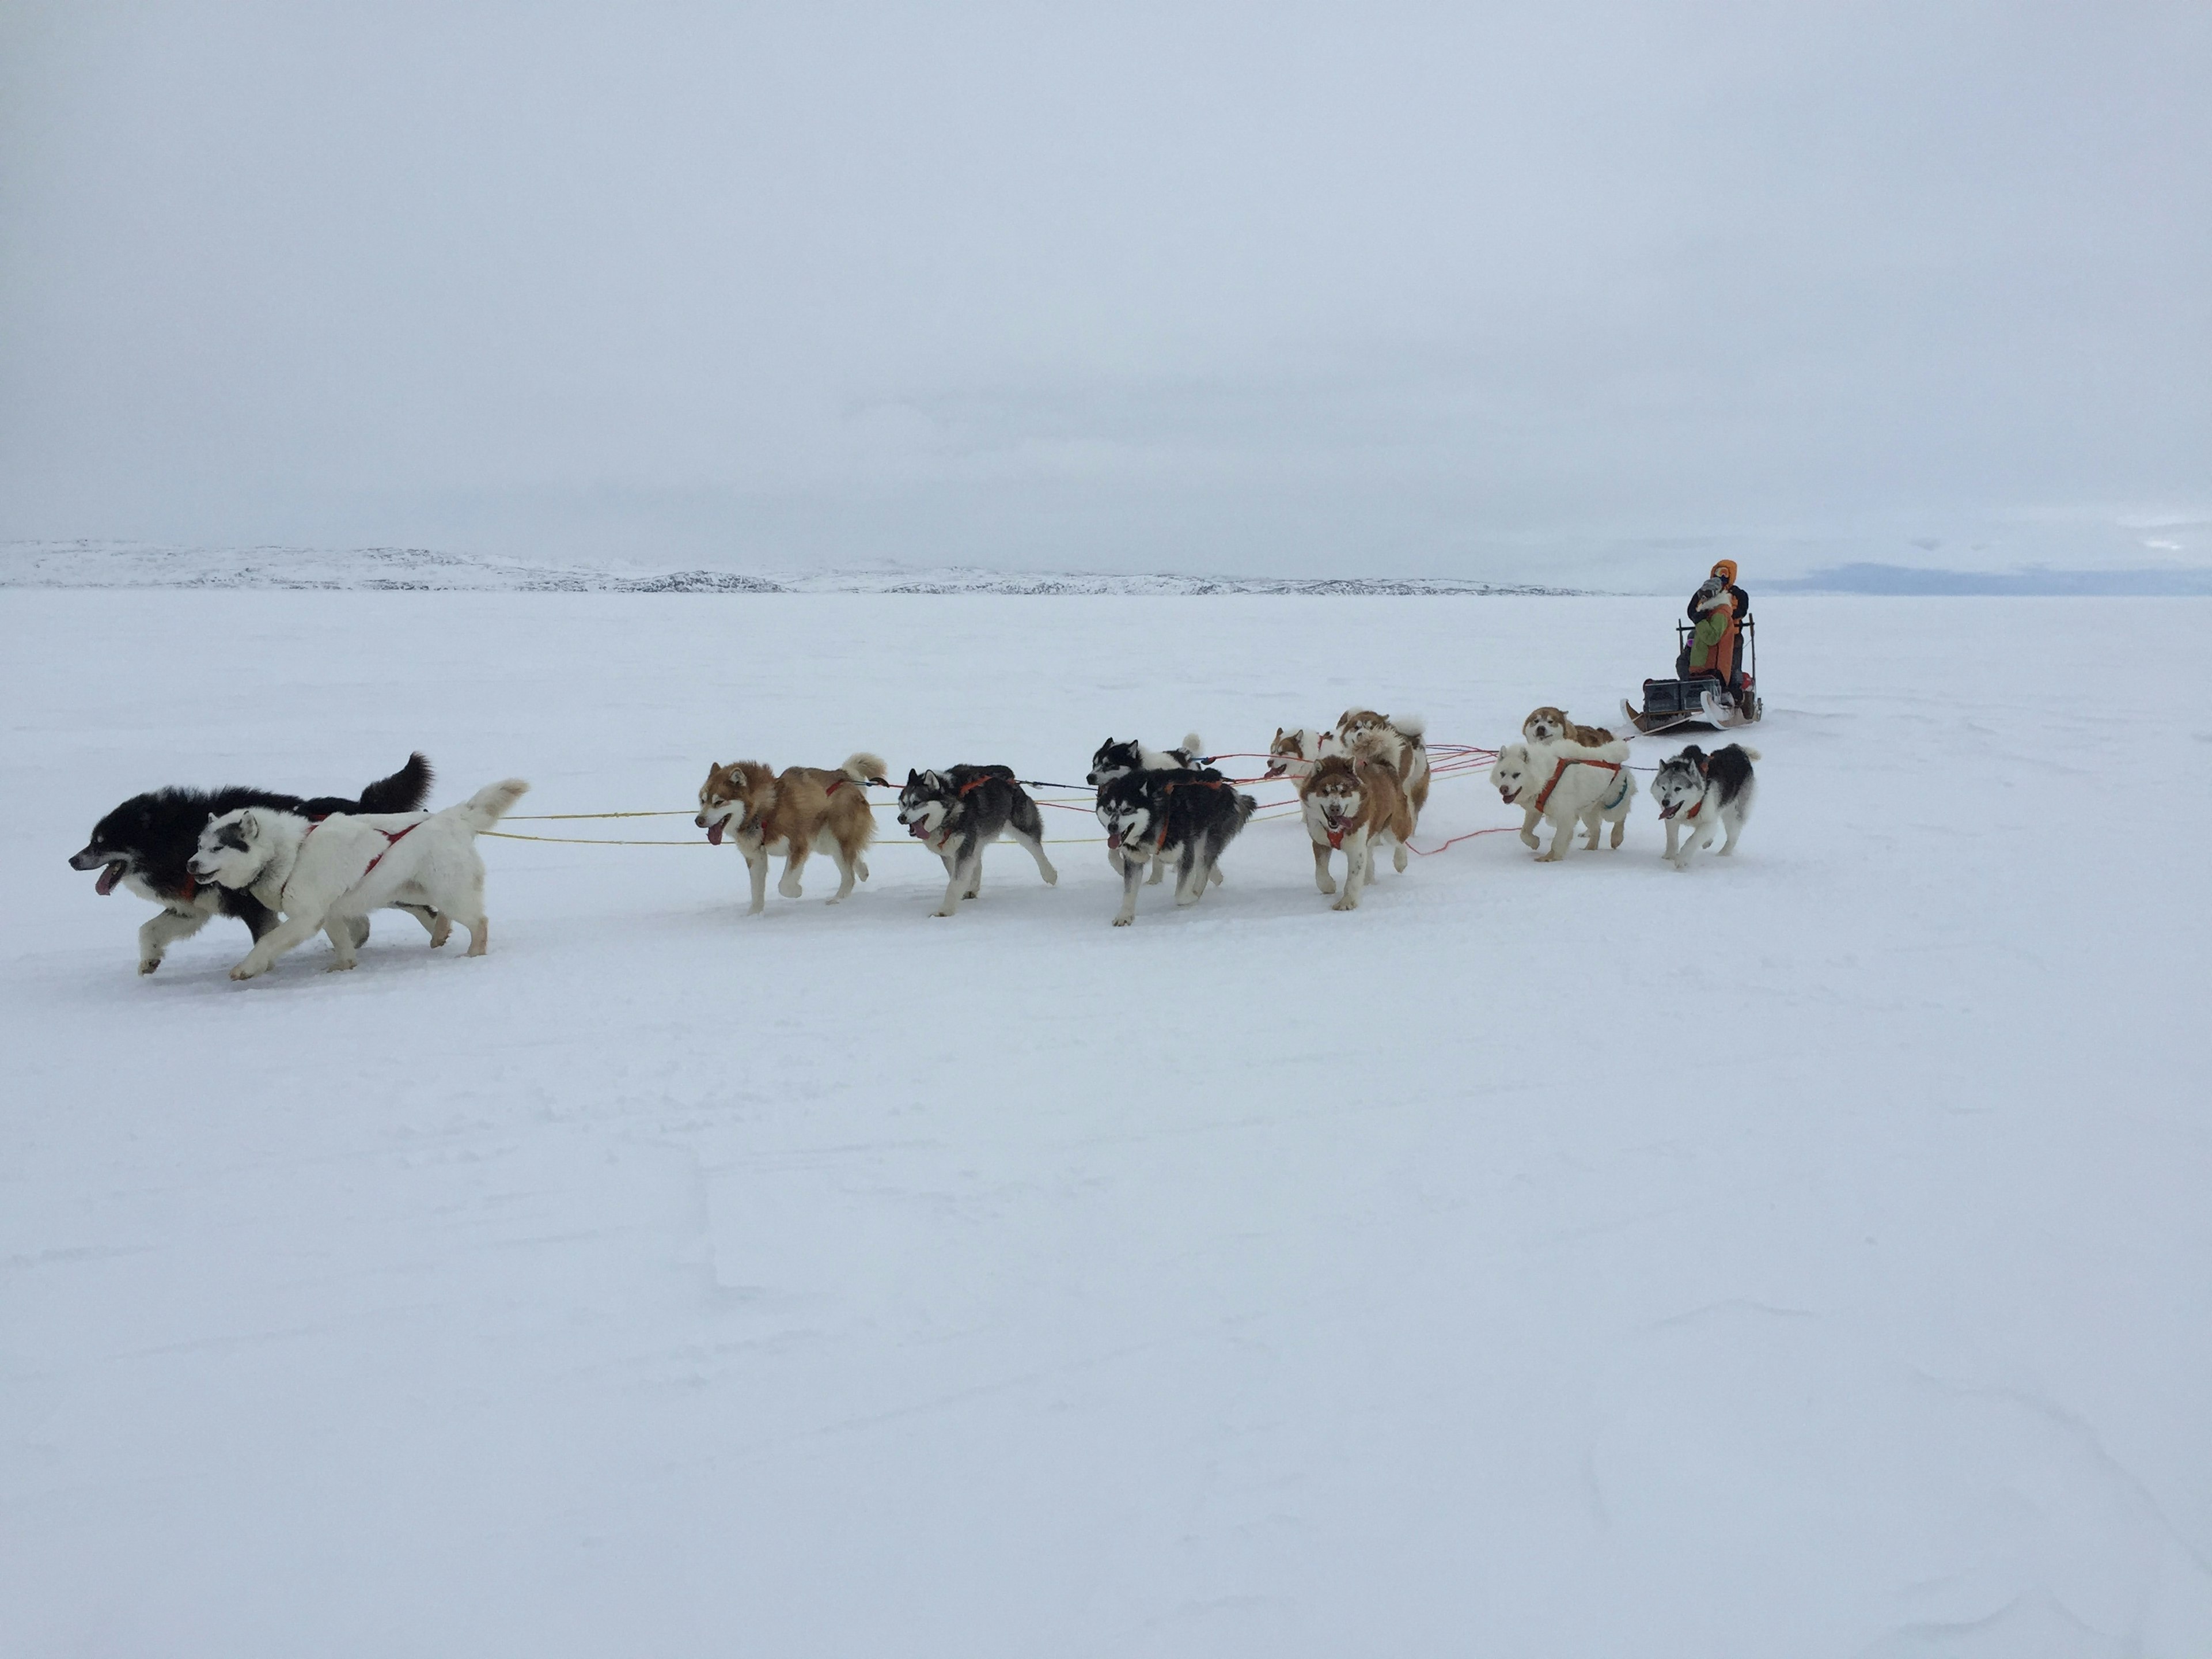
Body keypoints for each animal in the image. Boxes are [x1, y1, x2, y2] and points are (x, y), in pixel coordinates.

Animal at [699, 752, 889, 911]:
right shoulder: (756, 856)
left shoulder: (799, 847)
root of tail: (843, 775)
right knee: (853, 859)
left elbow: (784, 885)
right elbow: (757, 891)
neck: (767, 810)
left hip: (836, 838)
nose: (698, 820)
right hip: (824, 842)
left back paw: (836, 901)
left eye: (719, 802)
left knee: (849, 875)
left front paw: (797, 891)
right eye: (702, 800)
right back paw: (863, 871)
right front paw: (754, 915)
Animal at [1291, 760, 1415, 915]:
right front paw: (1329, 886)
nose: (1335, 808)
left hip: (1392, 828)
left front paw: (1347, 903)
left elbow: (1353, 878)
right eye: (1325, 791)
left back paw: (1400, 862)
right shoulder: (1320, 843)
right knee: (1371, 858)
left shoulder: (1356, 848)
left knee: (1401, 843)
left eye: (1344, 791)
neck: (1337, 830)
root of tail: (1384, 766)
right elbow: (1320, 872)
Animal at [1486, 743, 1645, 862]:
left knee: (1621, 817)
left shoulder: (1565, 816)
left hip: (1610, 808)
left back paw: (1616, 838)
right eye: (1502, 774)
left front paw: (1550, 858)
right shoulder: (1535, 811)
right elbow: (1524, 832)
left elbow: (1558, 841)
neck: (1546, 775)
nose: (1504, 789)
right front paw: (1535, 843)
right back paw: (1590, 849)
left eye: (1517, 775)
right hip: (1588, 812)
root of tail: (1616, 758)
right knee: (1597, 829)